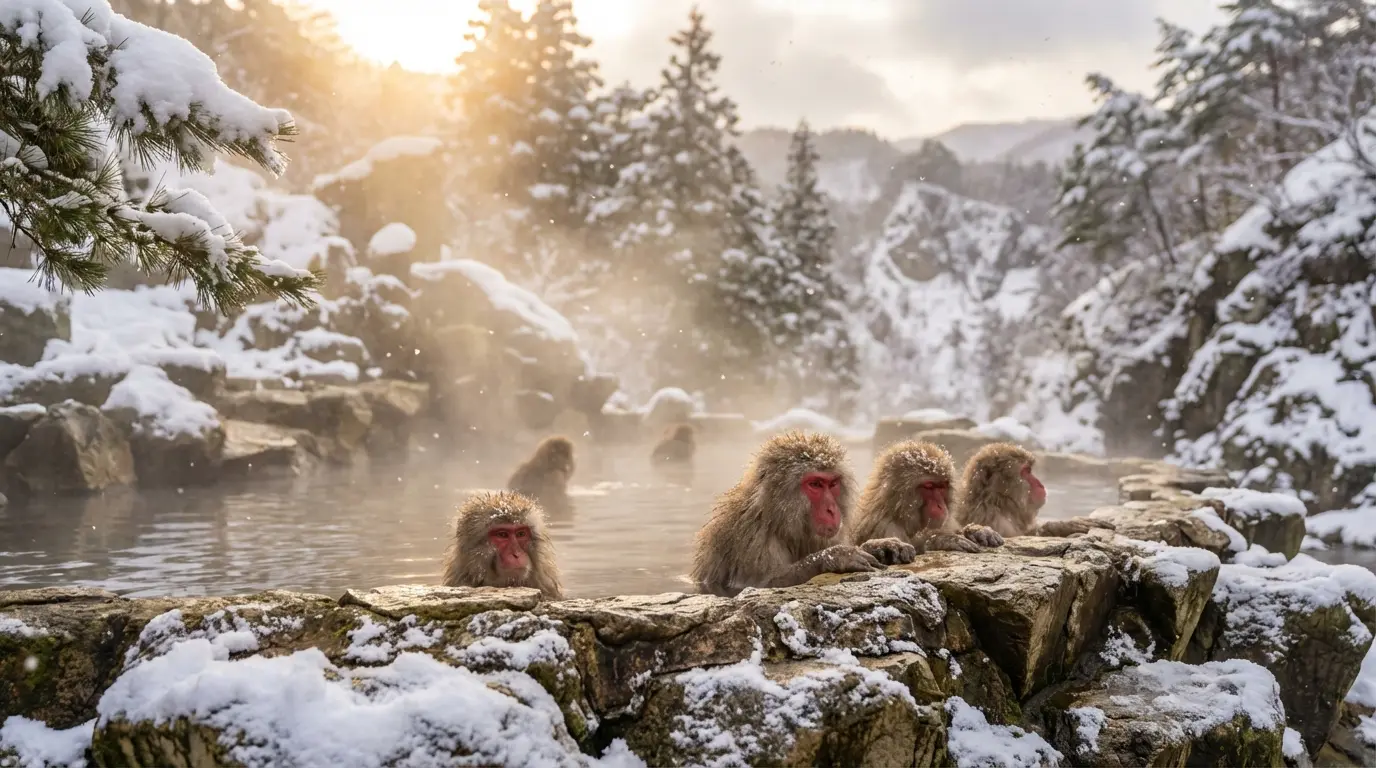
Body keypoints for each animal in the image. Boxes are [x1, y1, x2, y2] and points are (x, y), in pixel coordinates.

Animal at [691, 430, 918, 597]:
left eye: (832, 484)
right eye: (815, 484)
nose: (831, 509)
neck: (775, 519)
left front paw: (881, 546)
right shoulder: (750, 539)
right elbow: (760, 584)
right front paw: (837, 556)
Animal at [852, 440, 1005, 553]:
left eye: (941, 486)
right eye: (929, 486)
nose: (940, 506)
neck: (898, 513)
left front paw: (978, 531)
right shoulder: (885, 527)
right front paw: (943, 540)